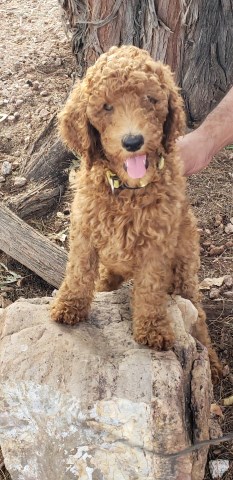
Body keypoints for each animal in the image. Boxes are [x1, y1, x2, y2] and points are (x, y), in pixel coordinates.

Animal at [50, 46, 221, 382]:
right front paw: (69, 305)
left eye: (150, 100)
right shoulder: (84, 229)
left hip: (185, 270)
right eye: (106, 106)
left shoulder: (158, 245)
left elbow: (150, 288)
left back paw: (214, 361)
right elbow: (78, 271)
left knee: (198, 315)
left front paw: (153, 328)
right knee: (105, 281)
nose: (133, 142)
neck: (128, 190)